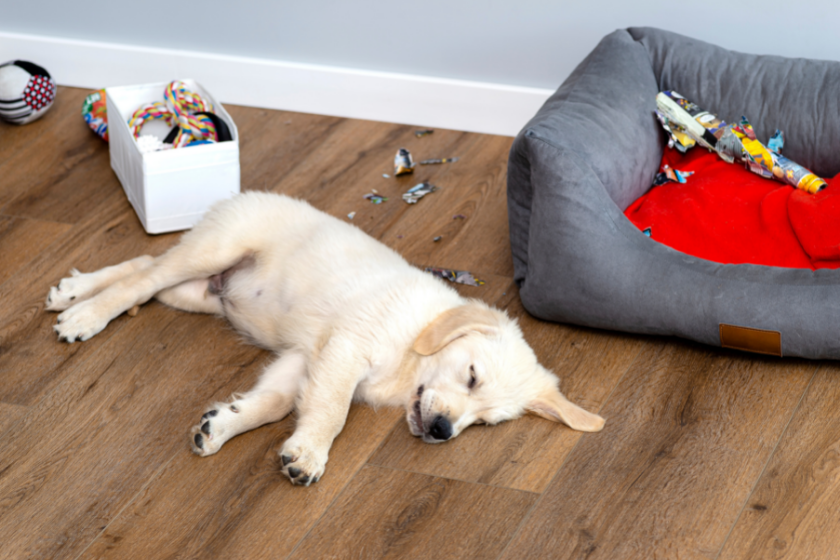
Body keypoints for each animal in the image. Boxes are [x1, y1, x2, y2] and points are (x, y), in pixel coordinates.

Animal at [46, 190, 600, 484]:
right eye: (471, 376)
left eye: (486, 422)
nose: (443, 431)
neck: (412, 349)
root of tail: (240, 196)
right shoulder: (345, 350)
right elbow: (332, 412)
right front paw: (310, 454)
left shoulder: (303, 359)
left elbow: (274, 403)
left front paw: (222, 426)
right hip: (216, 250)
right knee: (144, 275)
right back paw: (85, 313)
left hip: (198, 292)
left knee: (145, 268)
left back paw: (74, 290)